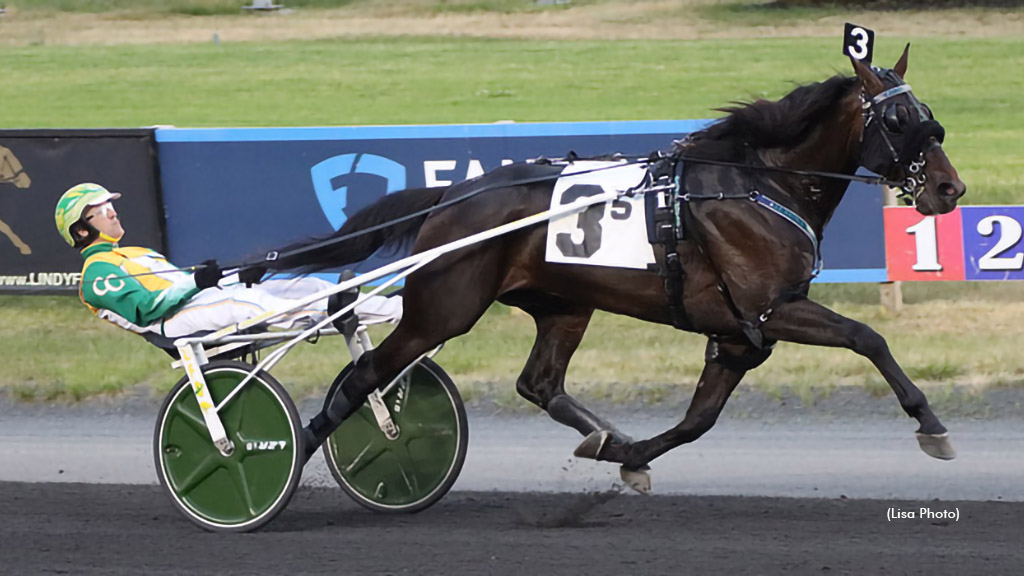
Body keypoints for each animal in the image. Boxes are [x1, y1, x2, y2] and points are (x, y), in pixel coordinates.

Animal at [266, 47, 966, 491]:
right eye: (900, 118)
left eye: (928, 113)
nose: (950, 189)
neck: (758, 183)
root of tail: (453, 196)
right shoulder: (771, 307)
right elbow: (867, 337)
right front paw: (930, 425)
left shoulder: (738, 334)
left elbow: (697, 421)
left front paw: (631, 455)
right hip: (443, 307)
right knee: (367, 376)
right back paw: (289, 463)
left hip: (564, 305)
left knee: (538, 383)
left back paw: (600, 436)